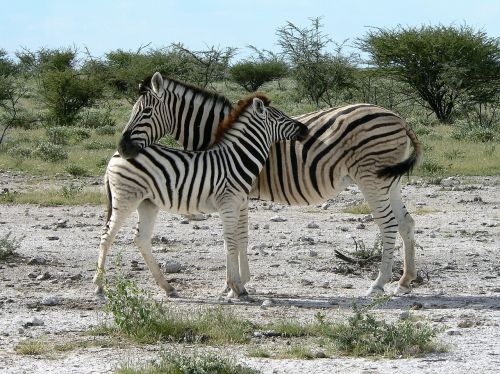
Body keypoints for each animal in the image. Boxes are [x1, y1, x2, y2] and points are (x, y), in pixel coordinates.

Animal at [92, 93, 306, 298]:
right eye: (279, 116)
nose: (303, 128)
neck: (237, 158)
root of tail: (115, 156)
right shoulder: (228, 204)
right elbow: (231, 242)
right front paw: (237, 287)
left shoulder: (238, 204)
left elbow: (236, 240)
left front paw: (234, 286)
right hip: (126, 199)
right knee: (107, 236)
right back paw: (99, 286)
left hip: (147, 203)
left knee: (141, 239)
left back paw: (167, 287)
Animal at [117, 71, 422, 296]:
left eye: (145, 111)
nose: (122, 148)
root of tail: (399, 118)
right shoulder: (236, 192)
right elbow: (241, 235)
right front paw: (240, 282)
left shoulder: (234, 191)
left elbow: (236, 236)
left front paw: (233, 286)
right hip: (389, 180)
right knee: (406, 222)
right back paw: (405, 281)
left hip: (371, 178)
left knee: (388, 225)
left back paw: (378, 284)